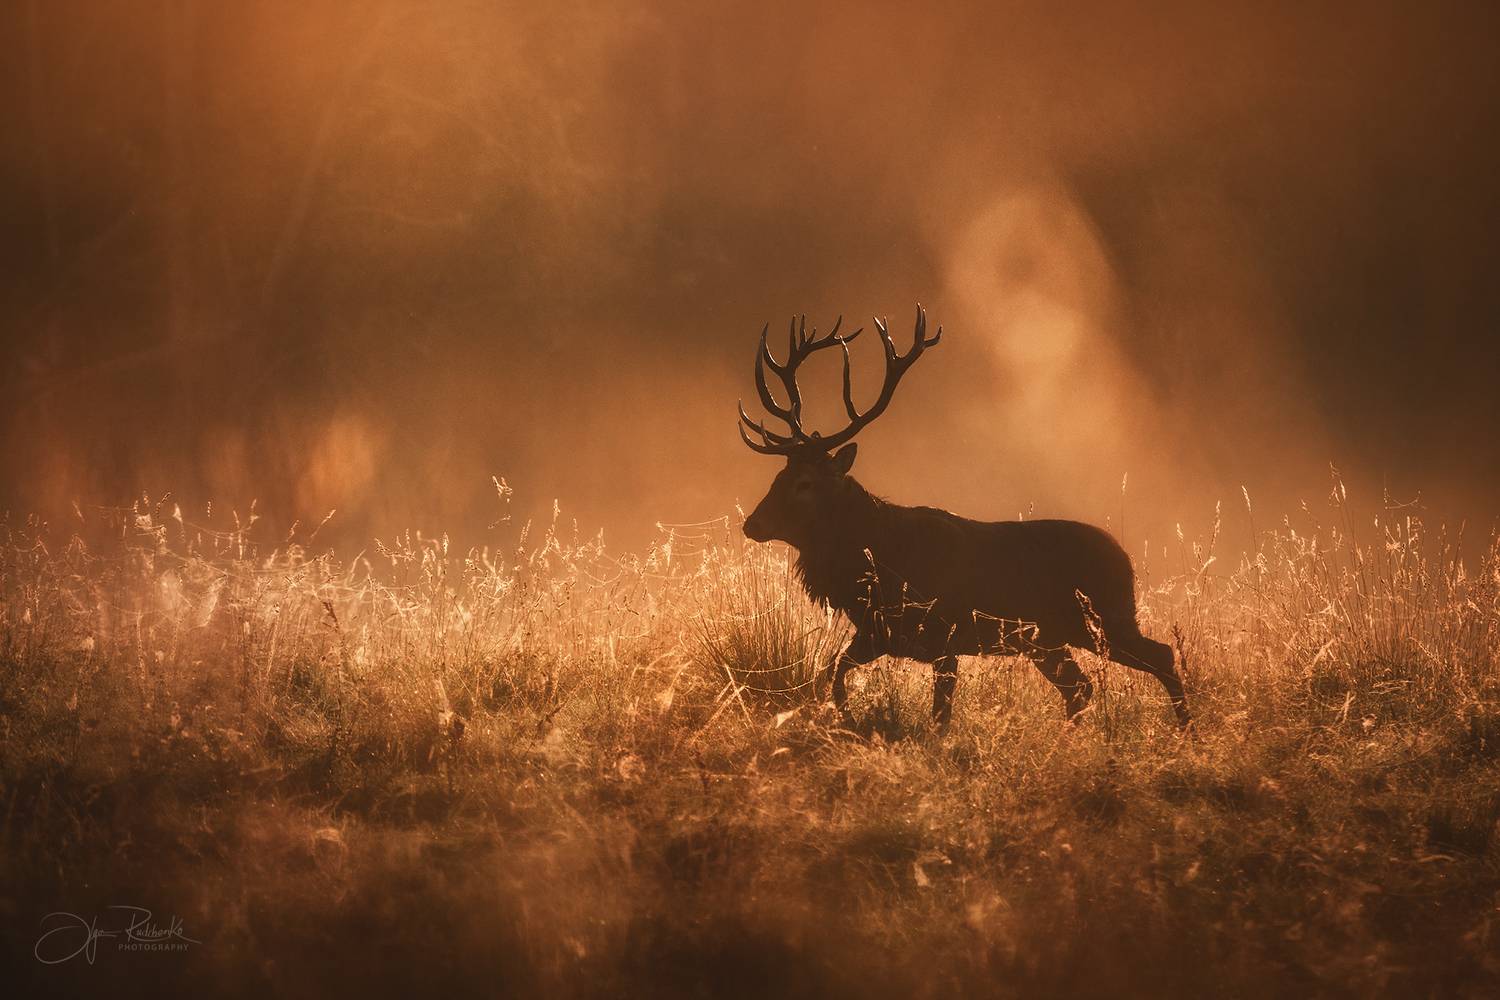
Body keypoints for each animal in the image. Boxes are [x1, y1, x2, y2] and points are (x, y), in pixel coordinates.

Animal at [737, 306, 1189, 730]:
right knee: (1080, 686)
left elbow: (940, 715)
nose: (752, 524)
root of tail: (1125, 559)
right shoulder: (876, 635)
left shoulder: (944, 636)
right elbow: (834, 673)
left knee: (1161, 655)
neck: (875, 566)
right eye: (779, 476)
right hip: (1050, 639)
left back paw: (1186, 730)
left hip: (1102, 619)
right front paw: (846, 721)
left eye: (805, 483)